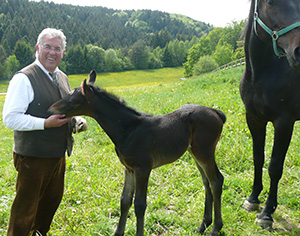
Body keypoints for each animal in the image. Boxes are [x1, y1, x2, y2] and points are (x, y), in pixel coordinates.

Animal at [49, 70, 226, 236]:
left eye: (73, 101)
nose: (50, 110)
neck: (128, 129)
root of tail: (215, 111)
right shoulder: (129, 168)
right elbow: (125, 200)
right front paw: (118, 232)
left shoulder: (143, 168)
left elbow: (140, 204)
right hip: (195, 153)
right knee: (207, 183)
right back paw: (203, 225)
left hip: (204, 152)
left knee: (216, 181)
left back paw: (216, 228)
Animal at [240, 0, 300, 230]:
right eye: (271, 3)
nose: (299, 51)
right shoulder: (254, 119)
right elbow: (258, 158)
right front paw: (253, 199)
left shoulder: (284, 122)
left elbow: (275, 167)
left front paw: (267, 213)